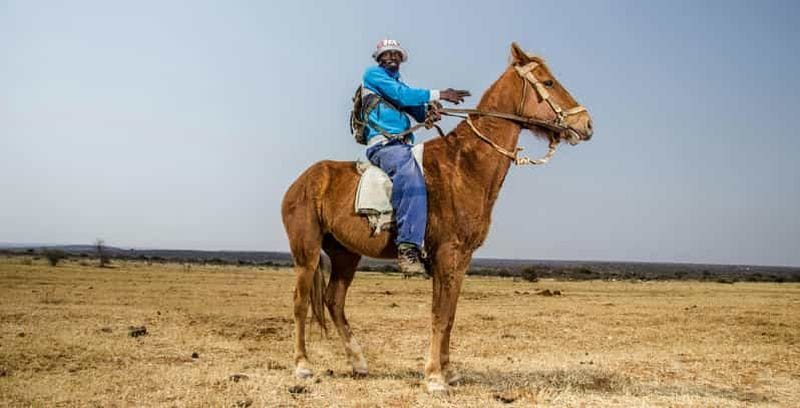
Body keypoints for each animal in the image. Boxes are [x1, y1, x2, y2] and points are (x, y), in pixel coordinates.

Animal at [281, 42, 593, 393]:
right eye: (549, 82)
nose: (586, 124)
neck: (465, 164)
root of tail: (301, 182)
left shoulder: (462, 258)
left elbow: (450, 314)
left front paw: (449, 371)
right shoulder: (446, 253)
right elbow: (439, 315)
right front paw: (433, 377)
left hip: (345, 254)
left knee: (334, 301)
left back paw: (359, 363)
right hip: (306, 252)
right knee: (300, 302)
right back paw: (303, 366)